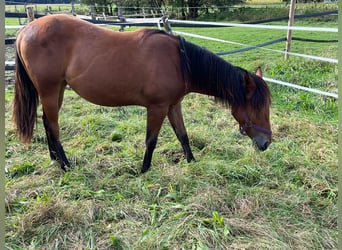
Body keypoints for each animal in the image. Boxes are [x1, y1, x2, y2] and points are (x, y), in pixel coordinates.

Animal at [13, 14, 272, 173]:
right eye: (257, 106)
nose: (266, 143)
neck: (179, 62)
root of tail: (25, 30)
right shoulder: (157, 107)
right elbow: (151, 140)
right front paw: (144, 170)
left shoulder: (173, 106)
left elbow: (183, 136)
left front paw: (191, 162)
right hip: (49, 90)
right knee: (54, 126)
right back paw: (65, 164)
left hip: (57, 90)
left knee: (47, 122)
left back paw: (54, 159)